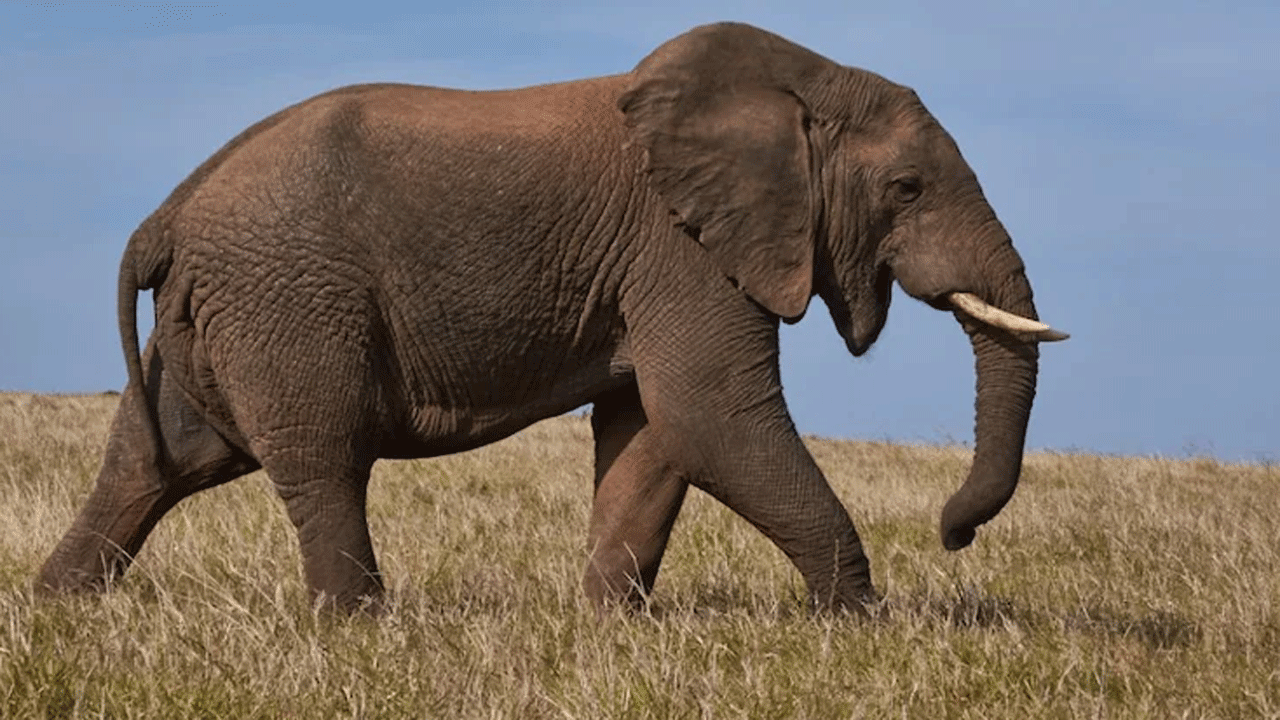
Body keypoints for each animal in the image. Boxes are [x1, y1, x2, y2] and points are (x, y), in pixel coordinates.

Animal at [37, 21, 1066, 615]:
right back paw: (359, 629)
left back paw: (59, 610)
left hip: (218, 317)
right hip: (286, 298)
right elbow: (712, 417)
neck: (798, 82)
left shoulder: (658, 262)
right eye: (907, 188)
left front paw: (608, 627)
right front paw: (852, 624)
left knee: (156, 459)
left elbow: (654, 433)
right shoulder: (680, 247)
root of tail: (167, 214)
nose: (954, 535)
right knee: (321, 458)